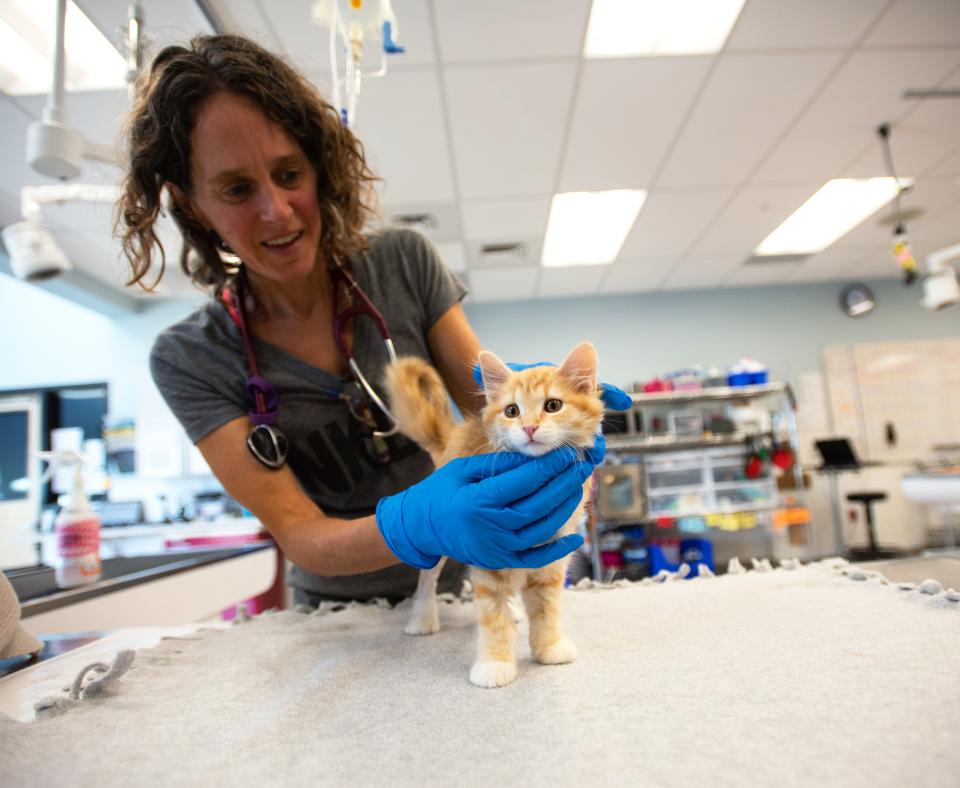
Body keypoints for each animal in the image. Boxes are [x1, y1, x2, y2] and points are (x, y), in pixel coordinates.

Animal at [384, 342, 604, 688]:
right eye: (512, 411)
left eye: (553, 405)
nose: (529, 427)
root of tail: (455, 436)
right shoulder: (487, 554)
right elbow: (492, 616)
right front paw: (495, 663)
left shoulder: (552, 558)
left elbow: (546, 608)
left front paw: (549, 646)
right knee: (427, 578)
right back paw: (422, 618)